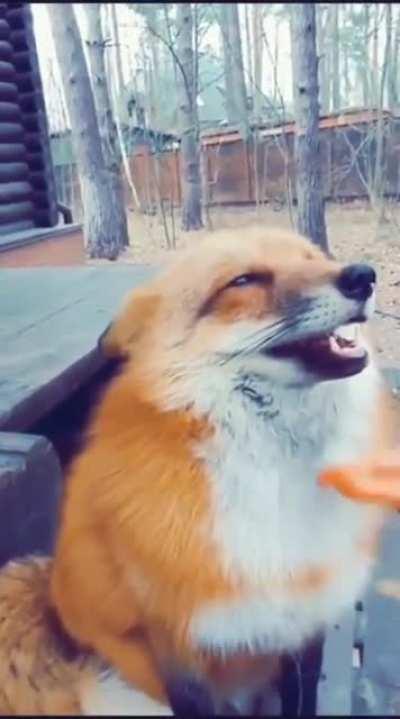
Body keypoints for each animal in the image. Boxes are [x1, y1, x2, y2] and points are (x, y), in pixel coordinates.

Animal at [0, 224, 396, 715]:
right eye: (243, 281)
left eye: (313, 258)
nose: (363, 276)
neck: (271, 484)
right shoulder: (178, 648)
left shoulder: (305, 624)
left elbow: (301, 699)